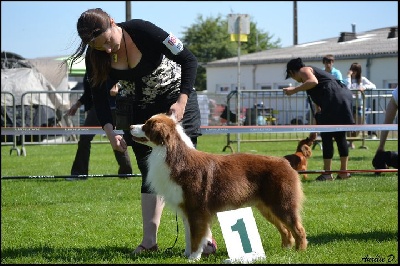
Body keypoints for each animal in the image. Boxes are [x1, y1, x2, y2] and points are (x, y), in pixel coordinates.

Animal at [130, 113, 308, 260]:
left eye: (147, 125)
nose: (130, 127)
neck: (172, 156)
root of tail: (285, 162)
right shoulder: (186, 208)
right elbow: (188, 235)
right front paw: (186, 254)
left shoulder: (197, 209)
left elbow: (196, 236)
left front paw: (193, 257)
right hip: (266, 207)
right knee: (285, 229)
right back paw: (285, 250)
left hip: (282, 203)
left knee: (298, 228)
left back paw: (300, 252)